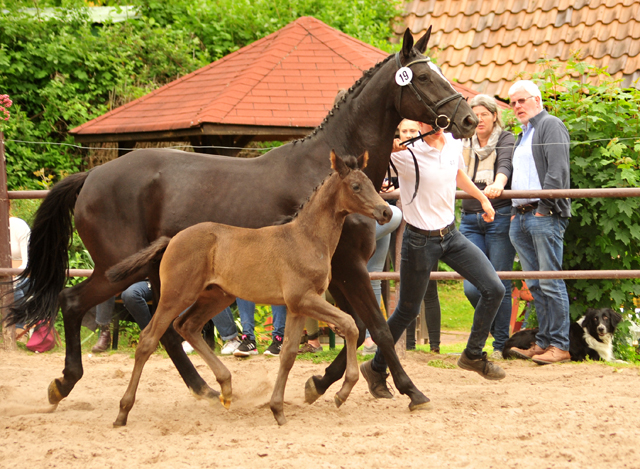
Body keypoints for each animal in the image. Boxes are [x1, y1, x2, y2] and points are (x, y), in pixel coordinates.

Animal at [106, 152, 390, 426]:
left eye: (371, 183)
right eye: (356, 186)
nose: (386, 211)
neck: (306, 238)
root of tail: (171, 240)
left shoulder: (298, 306)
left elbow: (288, 353)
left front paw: (278, 409)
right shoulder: (304, 299)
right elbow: (350, 324)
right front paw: (343, 391)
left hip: (217, 296)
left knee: (187, 326)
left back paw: (226, 388)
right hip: (176, 296)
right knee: (148, 339)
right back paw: (122, 412)